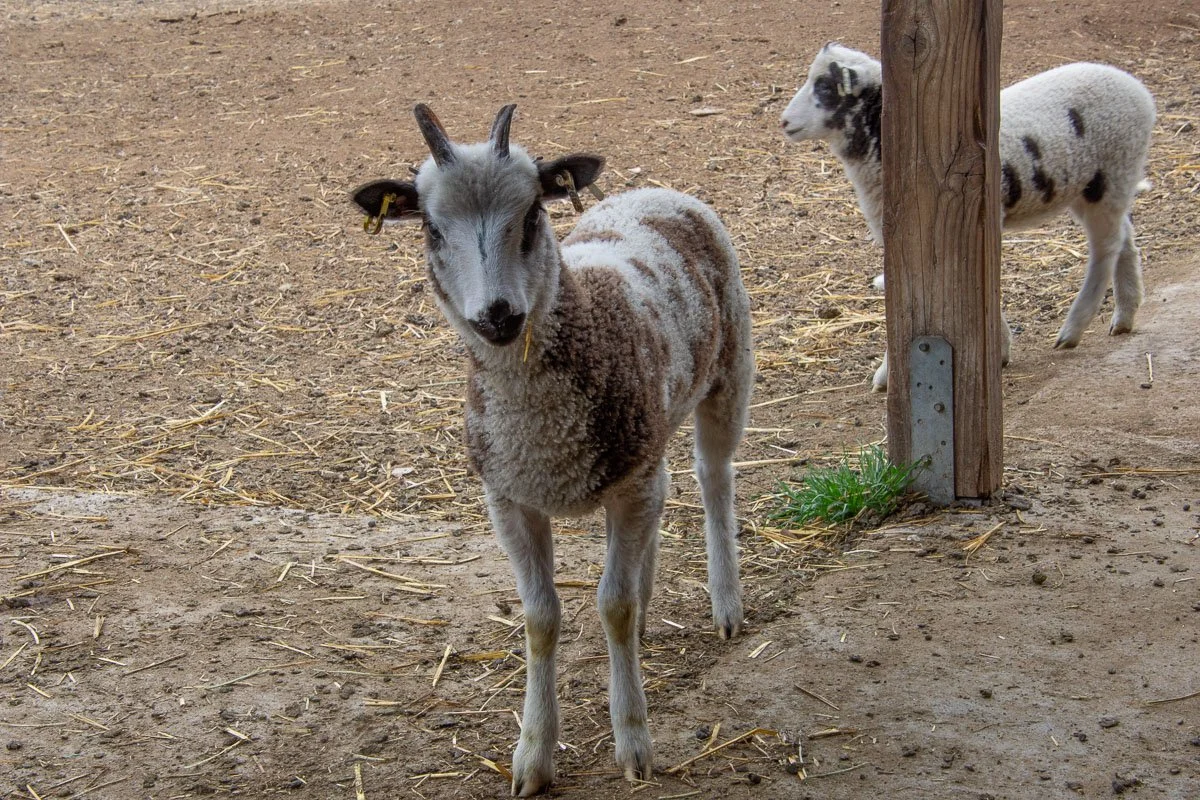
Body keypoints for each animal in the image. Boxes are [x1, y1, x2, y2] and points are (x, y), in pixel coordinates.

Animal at [349, 104, 753, 796]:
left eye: (534, 212)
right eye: (430, 227)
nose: (498, 315)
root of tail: (654, 193)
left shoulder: (628, 482)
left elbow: (612, 606)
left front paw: (634, 742)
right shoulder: (511, 499)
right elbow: (541, 618)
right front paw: (533, 756)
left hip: (730, 369)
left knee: (713, 476)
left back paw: (725, 602)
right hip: (650, 441)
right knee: (668, 493)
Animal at [779, 43, 1156, 391]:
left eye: (825, 87)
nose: (783, 122)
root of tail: (1141, 92)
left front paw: (889, 374)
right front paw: (999, 348)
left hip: (1110, 173)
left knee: (1105, 249)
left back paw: (1073, 329)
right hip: (1098, 185)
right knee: (1124, 238)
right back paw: (1124, 315)